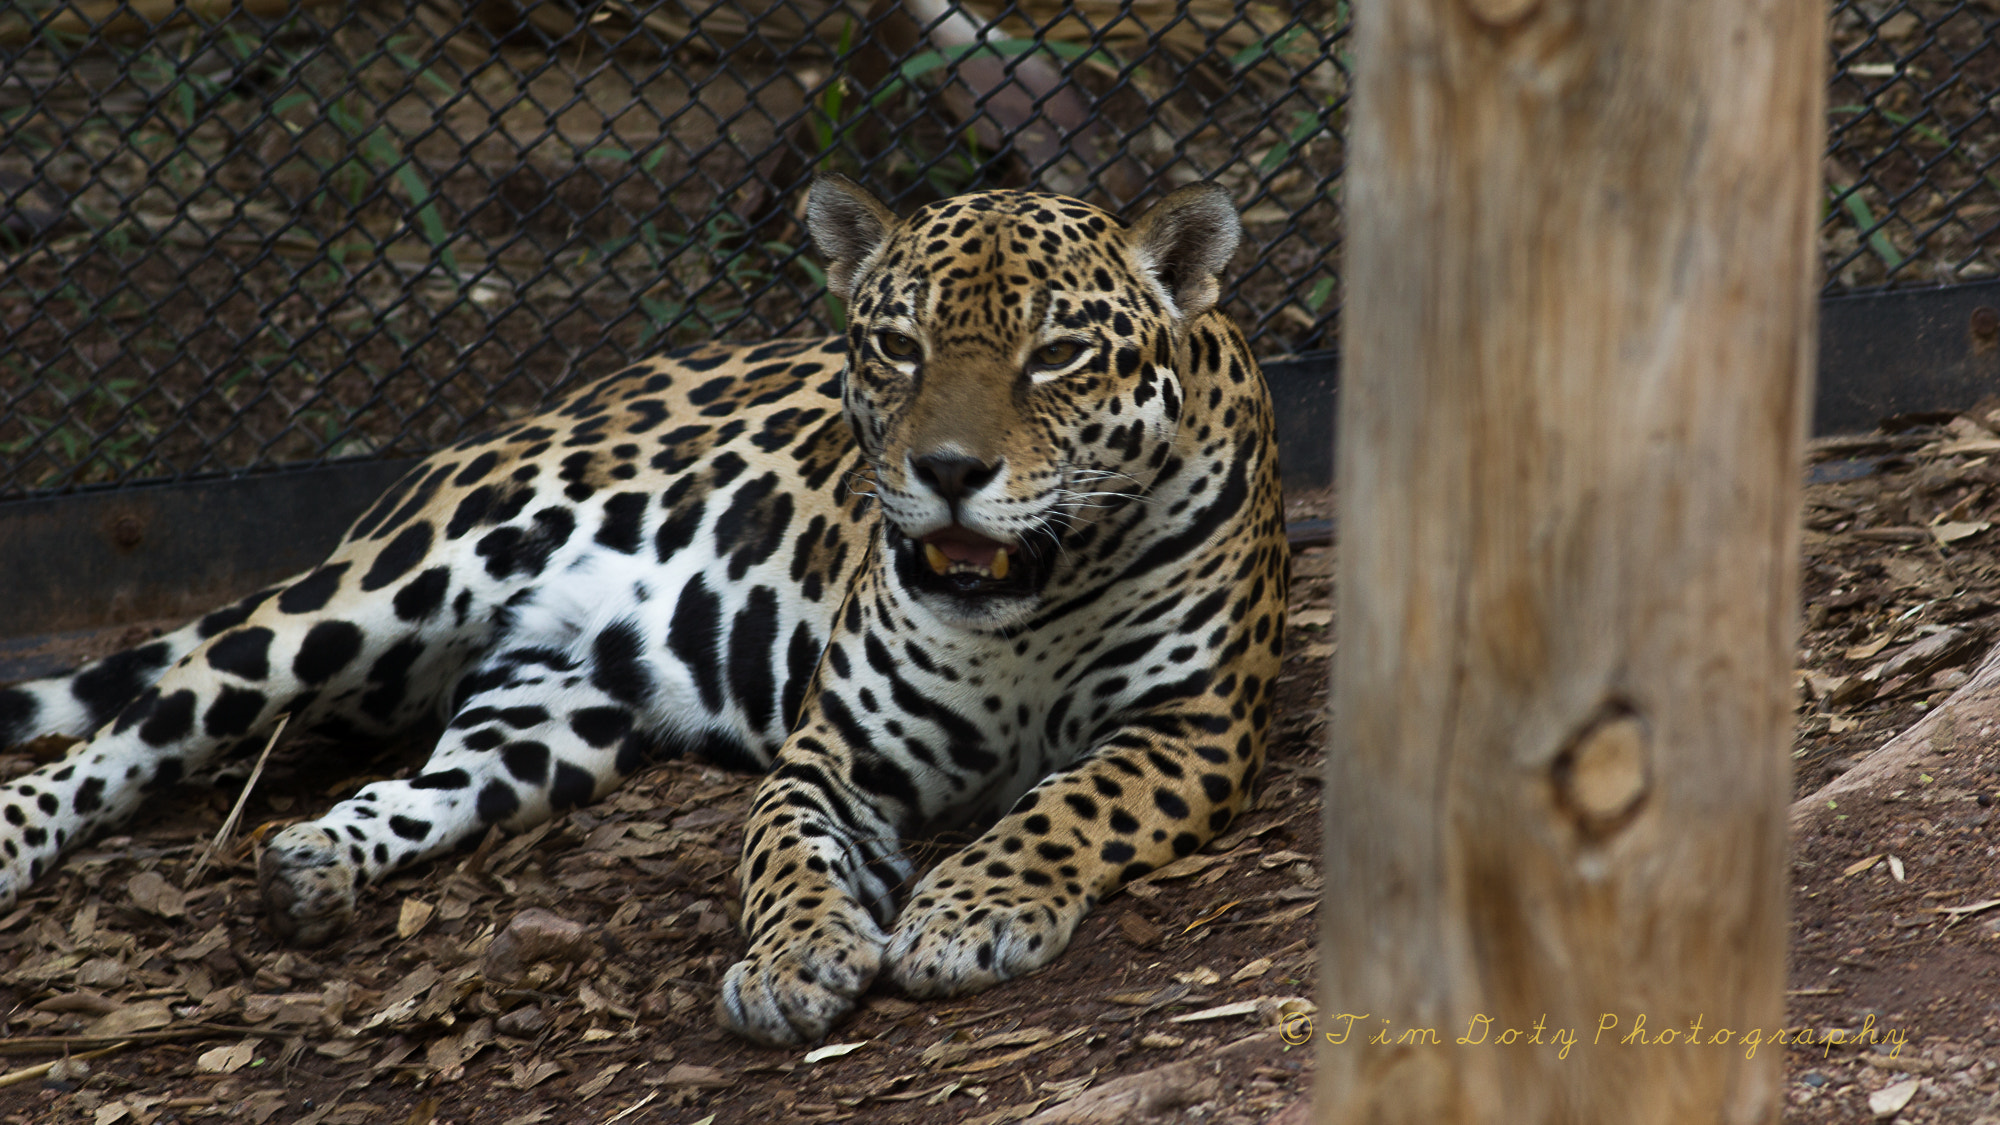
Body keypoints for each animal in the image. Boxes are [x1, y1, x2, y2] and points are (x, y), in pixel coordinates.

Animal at [0, 175, 1287, 1047]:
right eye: (895, 343)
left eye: (1059, 353)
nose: (949, 471)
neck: (1023, 609)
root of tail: (560, 401)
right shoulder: (831, 754)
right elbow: (785, 854)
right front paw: (794, 960)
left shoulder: (1193, 728)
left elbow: (1067, 804)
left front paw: (969, 907)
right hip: (377, 594)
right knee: (134, 727)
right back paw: (21, 840)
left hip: (552, 717)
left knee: (416, 784)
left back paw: (313, 861)